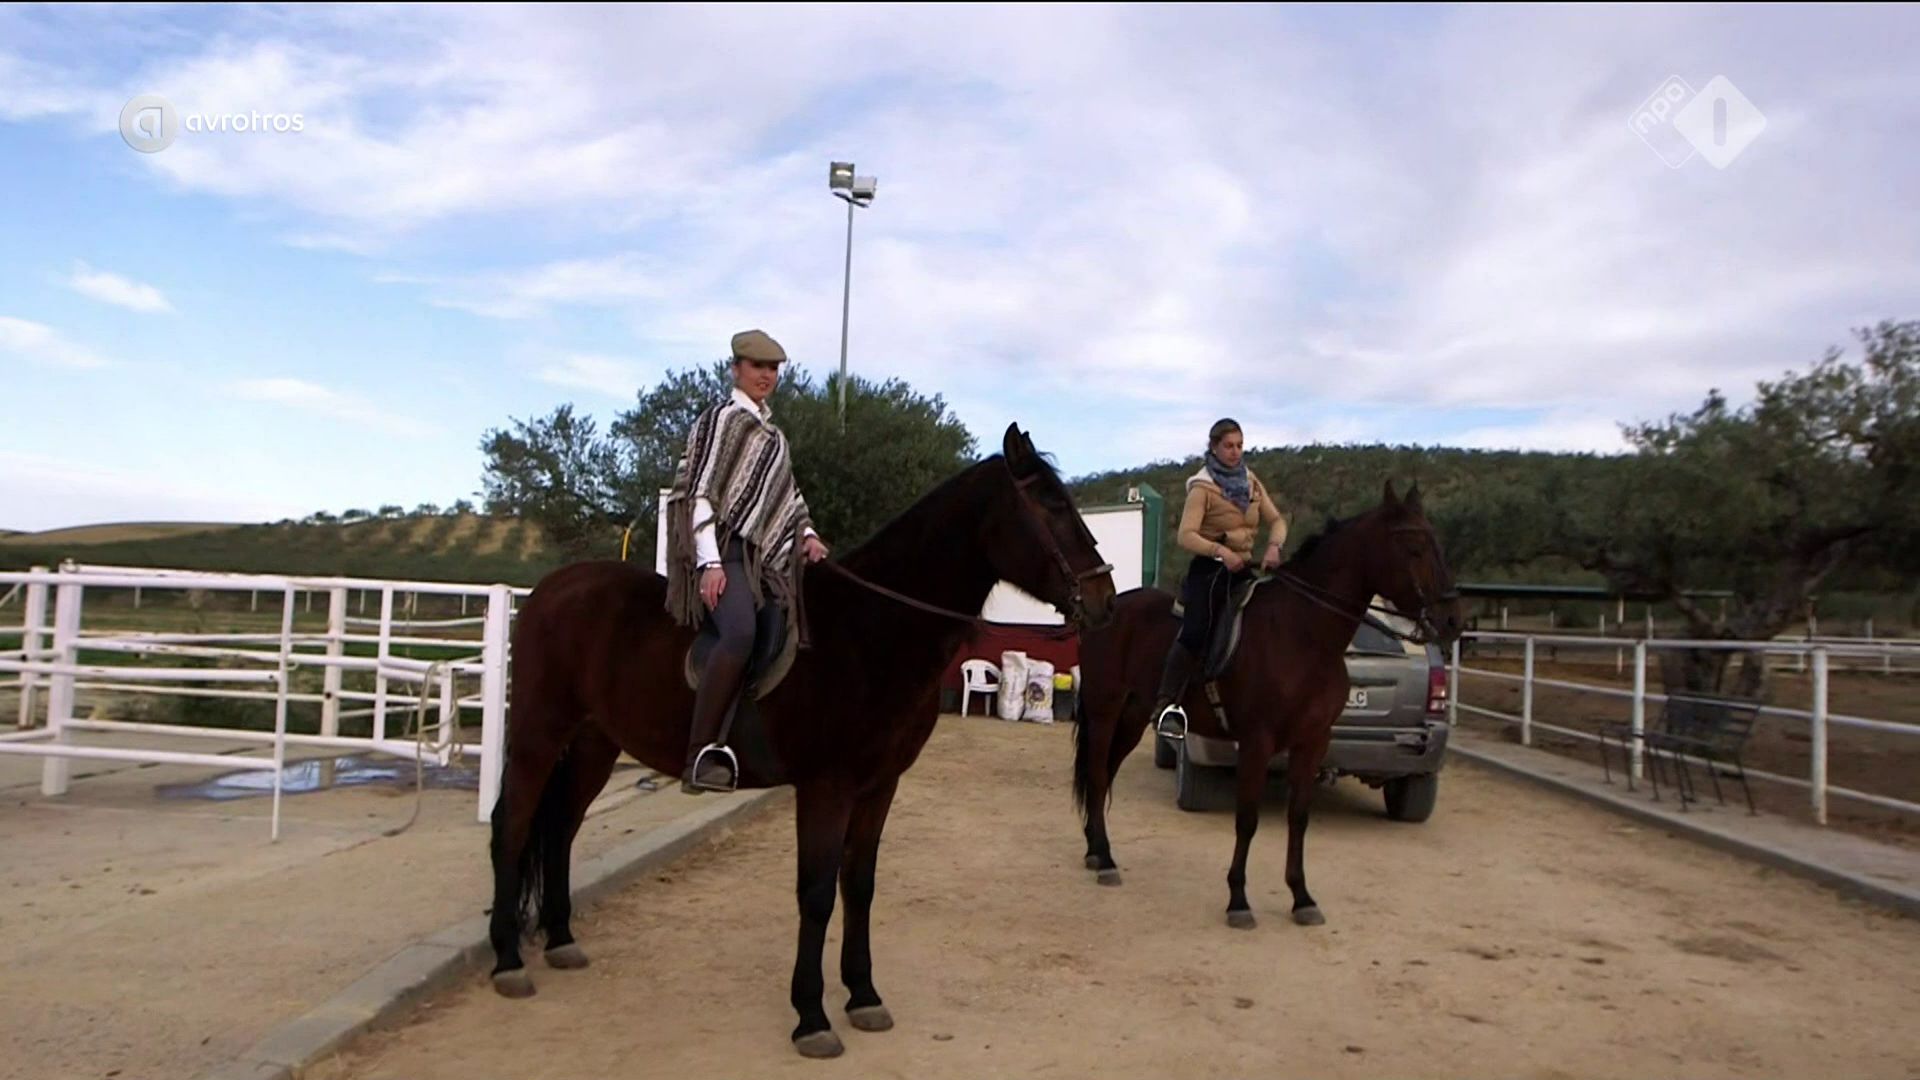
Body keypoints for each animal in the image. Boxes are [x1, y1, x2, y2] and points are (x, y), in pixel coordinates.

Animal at [487, 423, 1117, 1059]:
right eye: (1052, 506)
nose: (1106, 599)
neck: (871, 630)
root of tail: (550, 589)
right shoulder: (826, 788)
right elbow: (816, 893)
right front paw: (811, 1016)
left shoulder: (879, 787)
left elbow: (859, 885)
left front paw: (863, 995)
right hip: (540, 734)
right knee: (512, 825)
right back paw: (508, 960)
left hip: (595, 743)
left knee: (560, 827)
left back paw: (561, 939)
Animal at [1069, 479, 1464, 928]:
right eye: (1413, 548)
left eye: (1437, 544)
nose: (1453, 619)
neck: (1304, 634)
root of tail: (1105, 610)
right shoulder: (1256, 742)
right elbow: (1247, 819)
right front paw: (1238, 900)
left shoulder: (1312, 742)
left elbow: (1299, 817)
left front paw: (1302, 897)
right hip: (1104, 710)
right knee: (1098, 774)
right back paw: (1104, 860)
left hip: (1133, 715)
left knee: (1105, 775)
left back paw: (1096, 850)